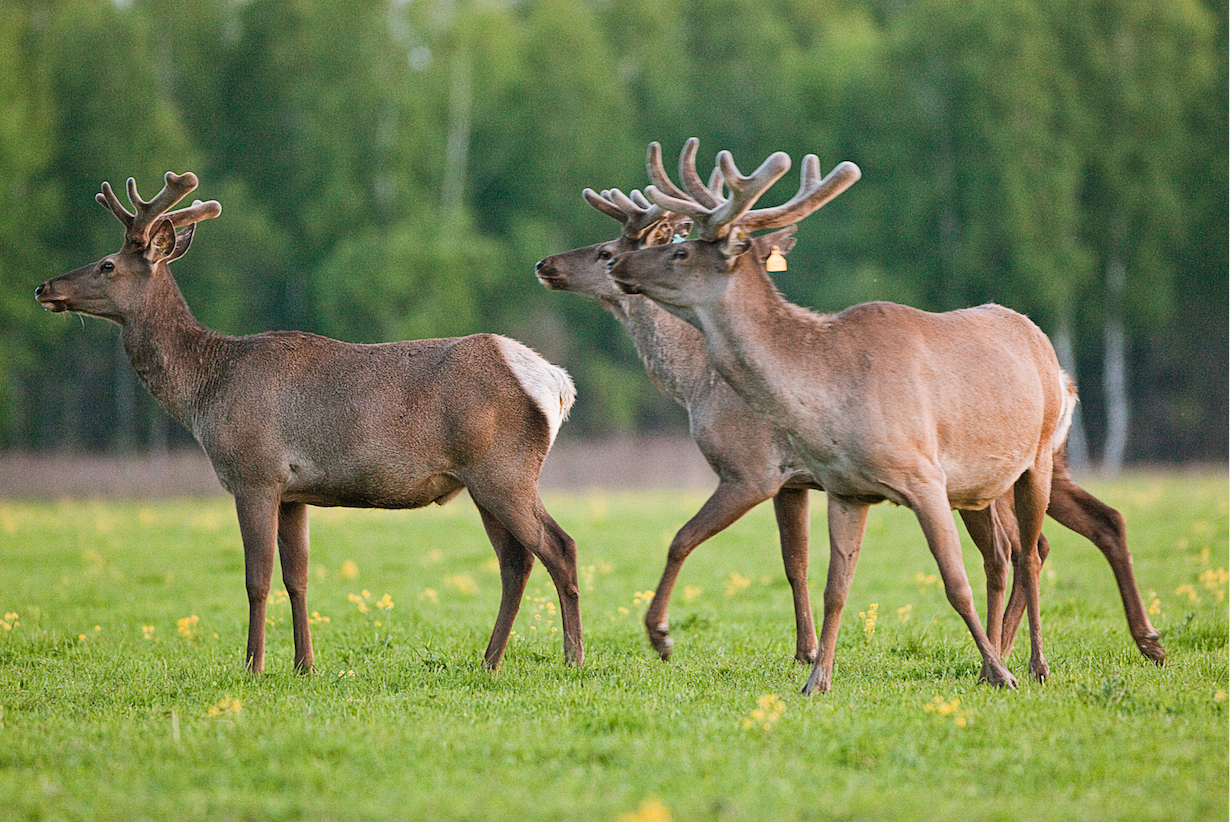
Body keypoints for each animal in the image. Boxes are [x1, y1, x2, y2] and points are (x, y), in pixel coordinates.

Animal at [33, 172, 580, 674]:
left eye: (107, 264)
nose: (43, 286)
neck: (206, 393)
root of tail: (557, 382)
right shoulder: (294, 492)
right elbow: (297, 577)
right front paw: (304, 664)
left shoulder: (255, 473)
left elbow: (256, 578)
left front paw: (252, 665)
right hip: (483, 480)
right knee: (516, 562)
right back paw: (489, 661)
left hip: (503, 469)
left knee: (559, 547)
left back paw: (571, 657)